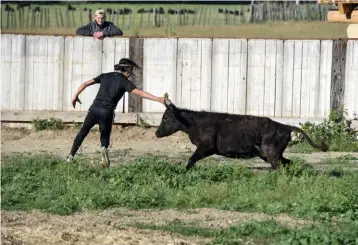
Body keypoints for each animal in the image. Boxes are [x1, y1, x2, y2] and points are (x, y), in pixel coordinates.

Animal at [155, 96, 328, 169]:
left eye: (165, 117)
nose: (156, 133)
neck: (194, 123)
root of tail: (285, 126)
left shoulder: (206, 147)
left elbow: (191, 160)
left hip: (271, 153)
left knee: (279, 167)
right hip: (269, 154)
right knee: (288, 163)